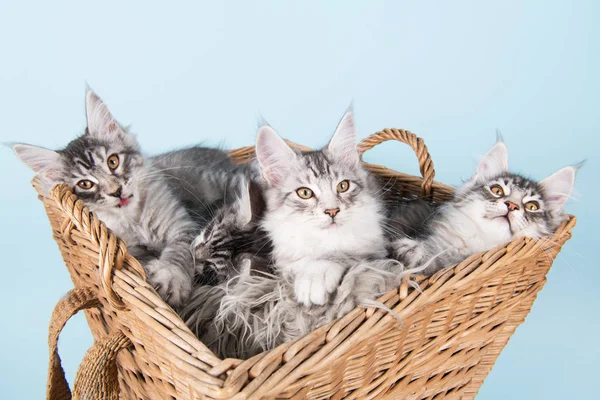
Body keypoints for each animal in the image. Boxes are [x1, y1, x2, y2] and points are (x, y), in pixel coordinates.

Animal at [11, 91, 241, 310]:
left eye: (113, 161)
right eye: (85, 184)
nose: (116, 191)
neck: (135, 219)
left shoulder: (183, 226)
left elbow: (179, 251)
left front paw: (171, 278)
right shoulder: (131, 249)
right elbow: (143, 259)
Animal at [254, 111, 386, 306]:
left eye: (343, 186)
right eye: (305, 193)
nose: (332, 211)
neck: (323, 241)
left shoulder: (378, 252)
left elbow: (341, 254)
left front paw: (315, 274)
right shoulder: (284, 261)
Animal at [392, 138, 580, 276]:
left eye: (532, 206)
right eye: (497, 190)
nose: (512, 205)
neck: (479, 243)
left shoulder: (452, 264)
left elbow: (436, 263)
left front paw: (416, 251)